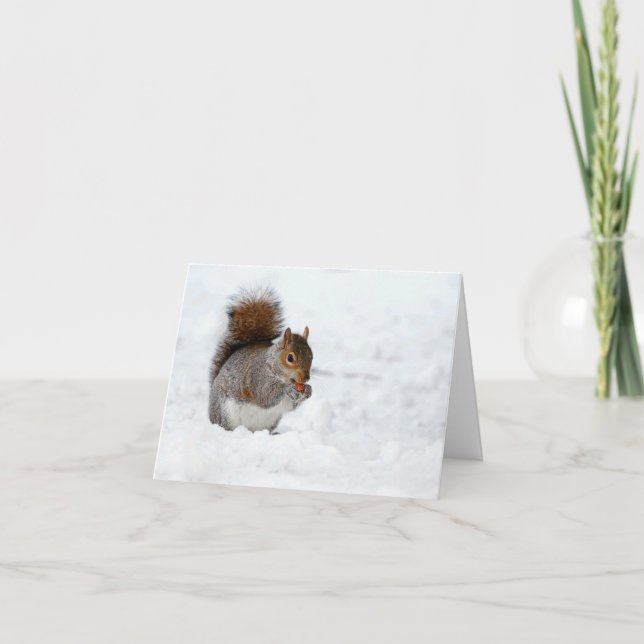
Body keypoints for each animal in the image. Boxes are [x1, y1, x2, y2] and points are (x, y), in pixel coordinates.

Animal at [208, 287, 313, 433]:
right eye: (290, 358)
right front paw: (288, 389)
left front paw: (308, 390)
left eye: (311, 356)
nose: (306, 379)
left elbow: (289, 406)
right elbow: (265, 396)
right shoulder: (257, 377)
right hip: (225, 413)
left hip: (271, 420)